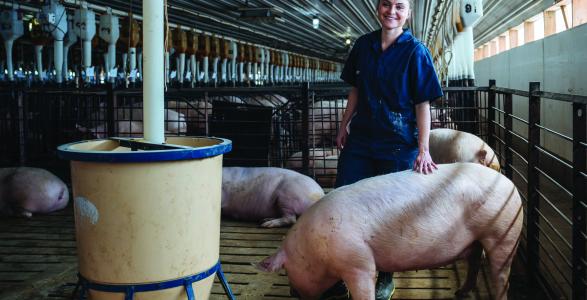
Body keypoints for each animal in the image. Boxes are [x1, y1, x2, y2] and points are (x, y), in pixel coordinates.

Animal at [258, 164, 524, 300]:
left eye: (288, 269)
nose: (293, 292)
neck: (313, 244)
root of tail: (510, 184)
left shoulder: (358, 261)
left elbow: (364, 288)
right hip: (478, 239)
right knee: (475, 261)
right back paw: (460, 292)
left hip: (503, 234)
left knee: (502, 276)